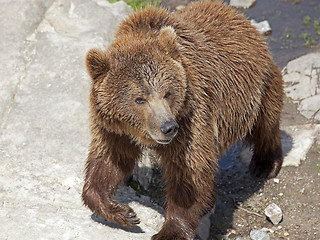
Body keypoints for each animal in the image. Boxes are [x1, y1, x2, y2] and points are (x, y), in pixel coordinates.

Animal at [81, 0, 284, 239]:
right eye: (139, 99)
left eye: (167, 93)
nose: (168, 127)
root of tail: (239, 18)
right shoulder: (114, 128)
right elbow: (109, 161)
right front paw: (123, 212)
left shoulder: (191, 118)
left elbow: (190, 176)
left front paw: (169, 231)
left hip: (258, 87)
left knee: (265, 123)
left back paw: (265, 164)